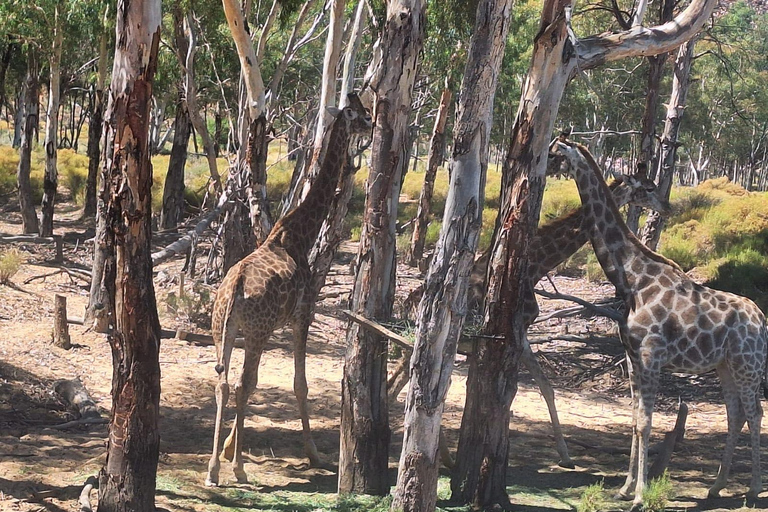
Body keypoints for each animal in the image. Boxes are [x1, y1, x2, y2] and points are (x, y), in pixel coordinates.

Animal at [204, 93, 372, 488]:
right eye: (361, 115)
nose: (373, 125)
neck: (299, 235)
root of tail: (234, 288)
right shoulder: (302, 316)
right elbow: (300, 383)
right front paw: (314, 454)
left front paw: (229, 449)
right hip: (258, 332)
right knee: (244, 383)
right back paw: (236, 469)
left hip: (223, 329)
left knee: (223, 383)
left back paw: (214, 467)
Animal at [464, 169, 668, 468]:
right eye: (649, 187)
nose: (668, 207)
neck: (535, 265)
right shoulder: (518, 329)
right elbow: (539, 388)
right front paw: (565, 455)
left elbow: (542, 388)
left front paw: (565, 455)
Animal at [552, 138, 768, 510]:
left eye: (557, 151)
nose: (547, 164)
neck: (633, 281)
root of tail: (762, 320)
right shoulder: (632, 358)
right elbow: (634, 420)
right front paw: (625, 489)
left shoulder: (651, 357)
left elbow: (646, 423)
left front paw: (640, 494)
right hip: (725, 365)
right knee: (736, 413)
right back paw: (716, 487)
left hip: (747, 365)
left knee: (755, 413)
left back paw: (753, 489)